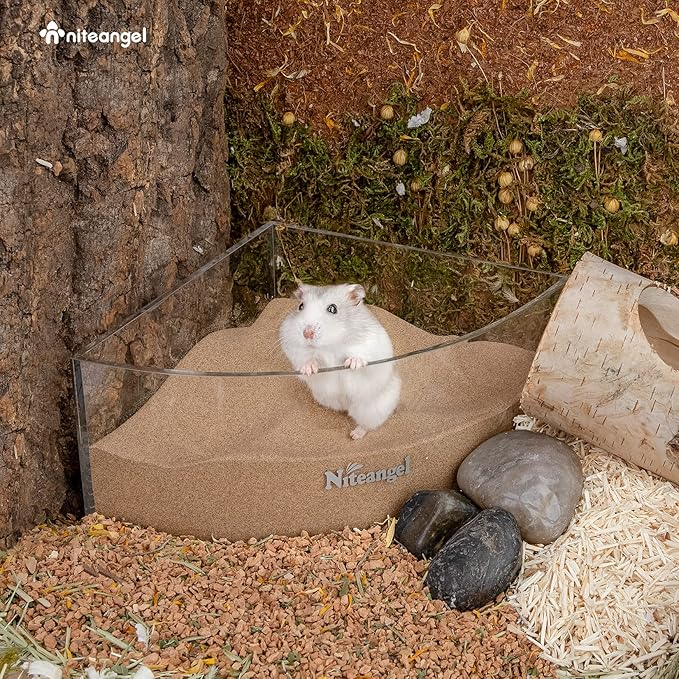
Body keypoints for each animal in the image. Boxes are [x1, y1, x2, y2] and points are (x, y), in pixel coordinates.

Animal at [279, 282, 401, 440]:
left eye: (333, 309)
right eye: (300, 306)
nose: (307, 334)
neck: (331, 346)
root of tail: (345, 406)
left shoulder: (372, 344)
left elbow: (363, 355)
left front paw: (353, 363)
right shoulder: (292, 347)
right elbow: (306, 359)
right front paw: (309, 369)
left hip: (372, 410)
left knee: (367, 425)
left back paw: (354, 435)